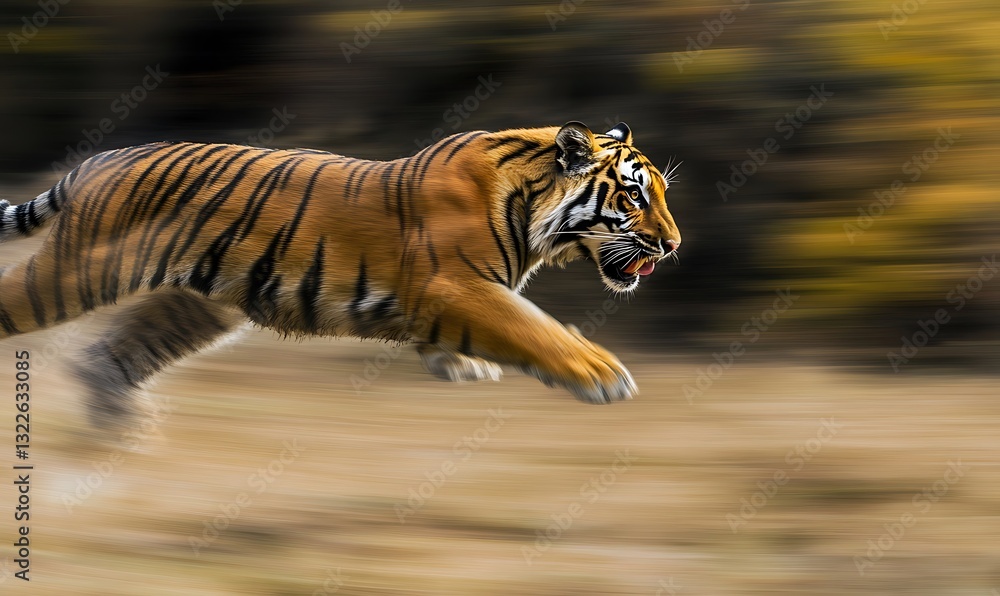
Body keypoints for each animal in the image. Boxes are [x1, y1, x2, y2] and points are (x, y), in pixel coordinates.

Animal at [0, 121, 681, 427]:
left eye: (662, 193)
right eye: (635, 196)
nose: (673, 245)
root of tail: (94, 161)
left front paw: (460, 365)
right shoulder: (455, 284)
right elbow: (537, 327)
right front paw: (602, 375)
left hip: (195, 302)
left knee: (110, 355)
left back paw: (116, 432)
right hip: (77, 273)